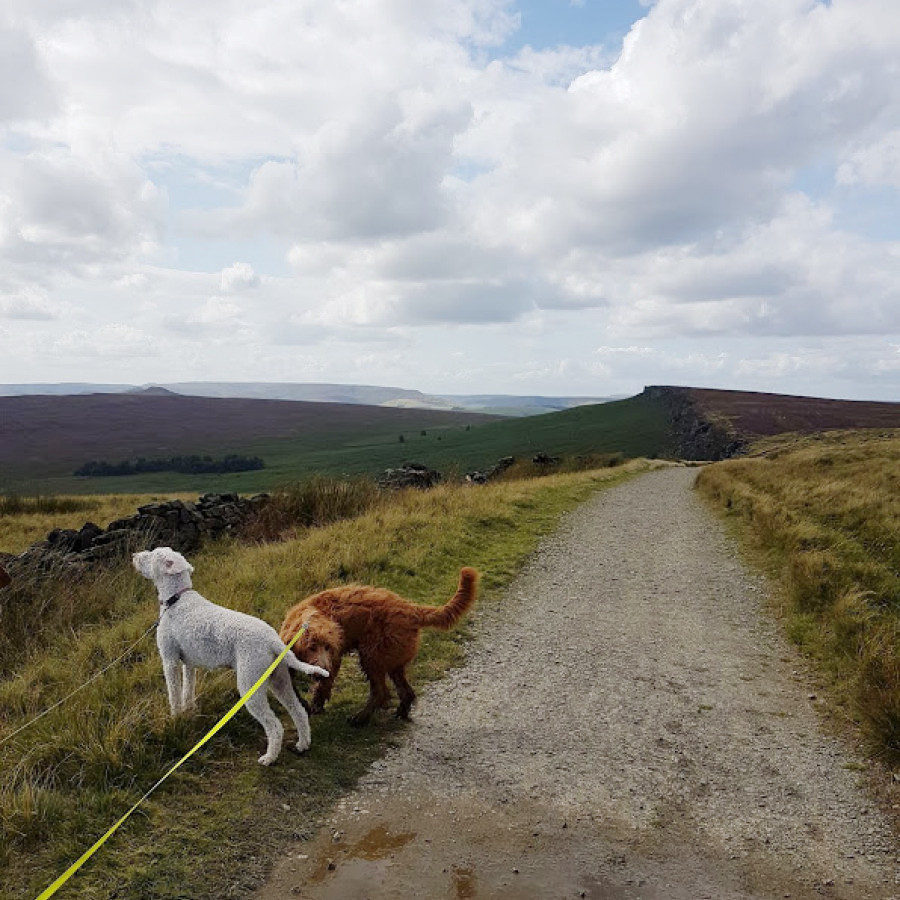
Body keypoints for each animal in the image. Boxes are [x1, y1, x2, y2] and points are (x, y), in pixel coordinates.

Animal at [132, 544, 328, 764]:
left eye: (152, 555)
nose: (134, 556)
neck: (177, 599)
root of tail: (273, 641)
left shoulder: (170, 660)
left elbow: (174, 694)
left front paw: (175, 718)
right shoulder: (188, 663)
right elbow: (187, 690)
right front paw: (188, 713)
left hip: (250, 683)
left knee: (275, 726)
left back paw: (269, 758)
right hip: (279, 679)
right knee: (299, 711)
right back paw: (302, 745)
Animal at [282, 568, 478, 724]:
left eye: (328, 647)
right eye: (311, 647)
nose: (323, 670)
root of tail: (411, 609)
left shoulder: (334, 659)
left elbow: (321, 686)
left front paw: (313, 705)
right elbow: (293, 685)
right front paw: (308, 704)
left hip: (372, 656)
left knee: (380, 692)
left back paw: (361, 717)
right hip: (393, 660)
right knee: (406, 691)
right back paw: (400, 712)